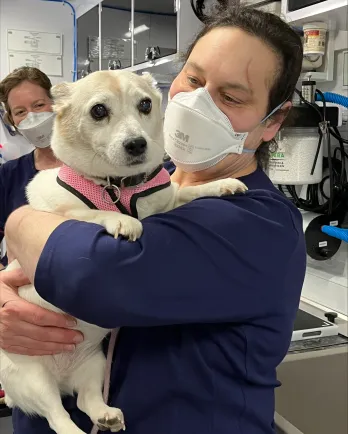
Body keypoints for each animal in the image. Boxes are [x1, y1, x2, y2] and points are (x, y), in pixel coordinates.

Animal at [0, 69, 246, 432]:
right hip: (32, 377)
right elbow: (89, 212)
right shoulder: (60, 211)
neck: (119, 186)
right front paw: (122, 221)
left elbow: (185, 193)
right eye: (98, 111)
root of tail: (62, 379)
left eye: (145, 104)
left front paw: (220, 184)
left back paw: (106, 415)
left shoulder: (166, 202)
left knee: (86, 400)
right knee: (58, 416)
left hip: (95, 364)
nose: (137, 143)